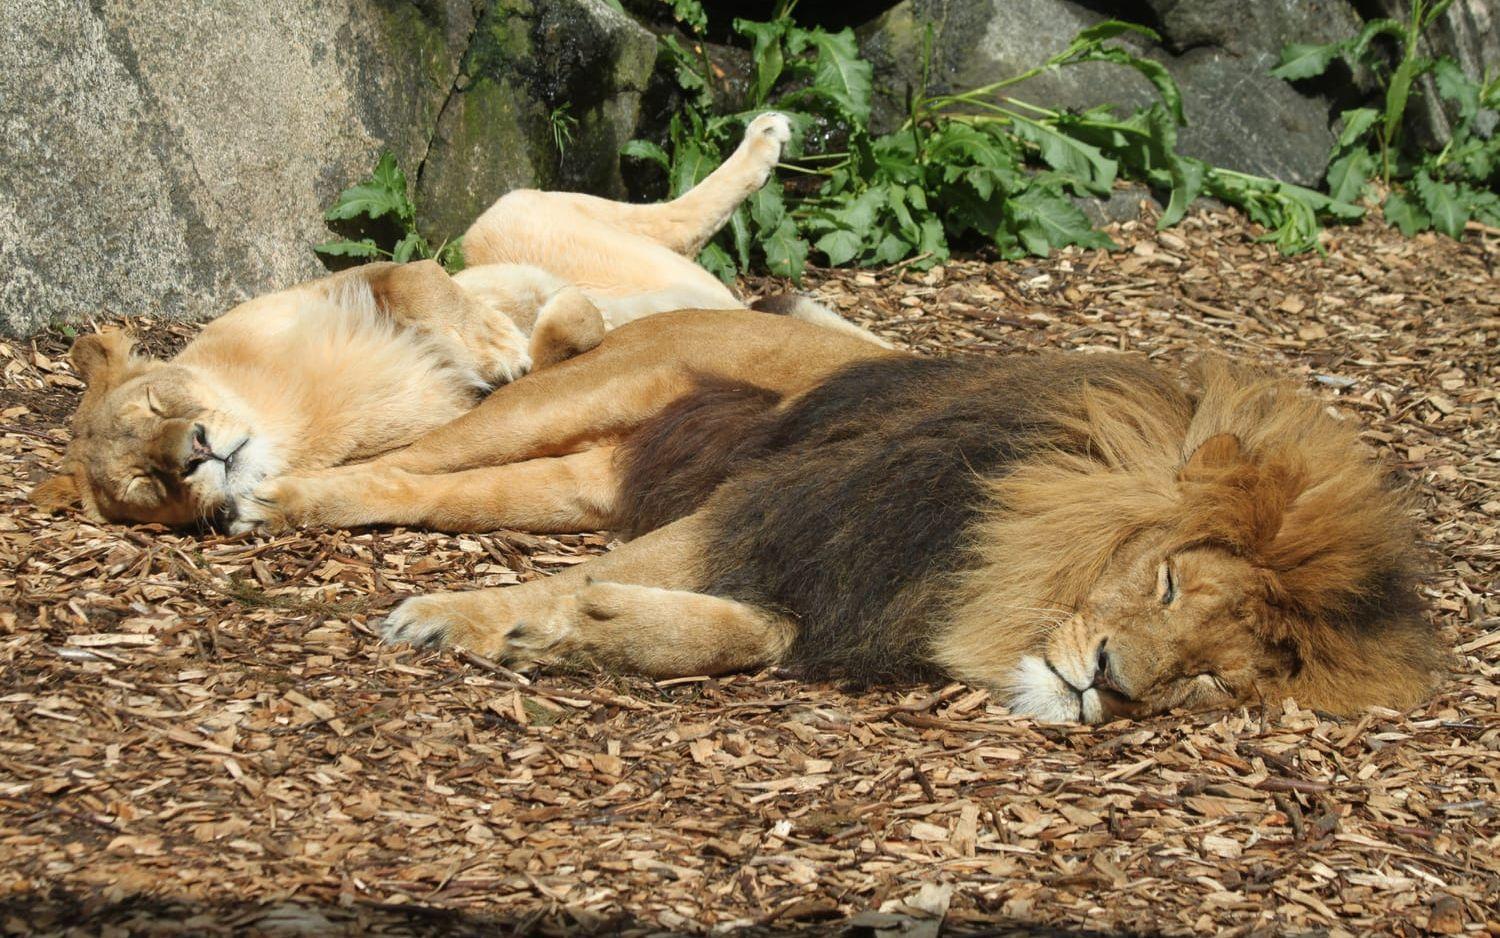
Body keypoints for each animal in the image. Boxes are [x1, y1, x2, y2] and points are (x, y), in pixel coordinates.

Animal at [246, 310, 1440, 720]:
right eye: (1168, 581)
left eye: (1210, 678)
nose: (1108, 683)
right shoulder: (783, 506)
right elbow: (572, 582)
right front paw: (462, 619)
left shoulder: (842, 583)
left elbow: (757, 633)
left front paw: (594, 630)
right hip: (570, 399)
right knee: (409, 455)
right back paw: (262, 493)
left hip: (571, 479)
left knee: (420, 489)